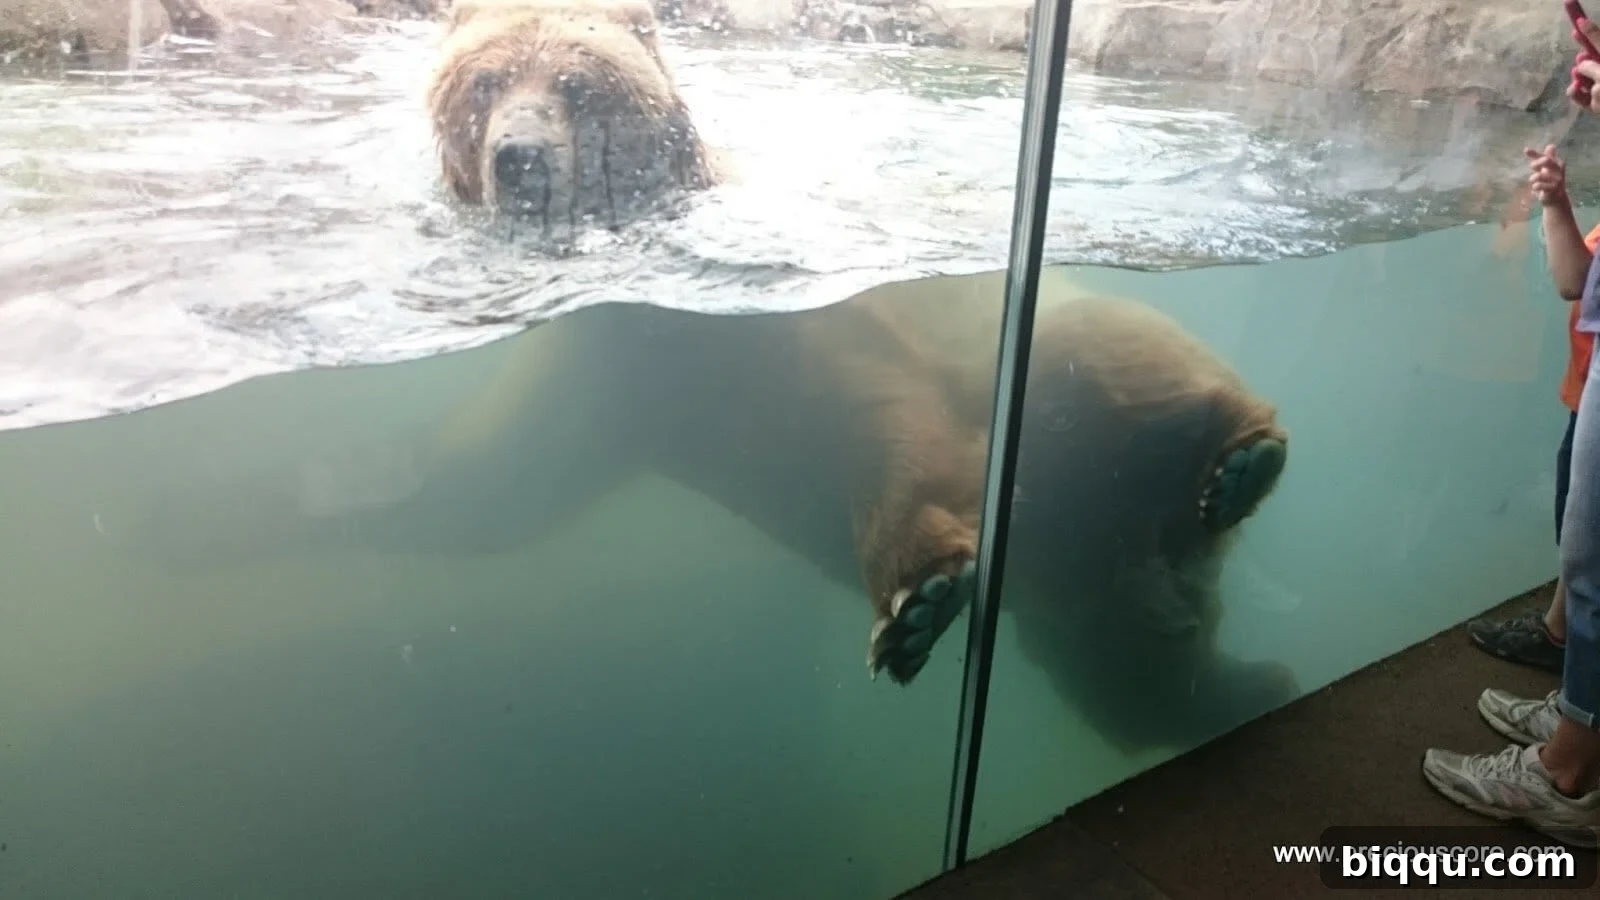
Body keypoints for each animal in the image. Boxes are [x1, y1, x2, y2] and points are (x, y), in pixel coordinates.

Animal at [273, 269, 1297, 756]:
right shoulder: (627, 397)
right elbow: (489, 489)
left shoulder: (809, 337)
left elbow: (889, 427)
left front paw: (915, 604)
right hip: (1080, 600)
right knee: (1130, 683)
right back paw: (1254, 677)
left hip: (1053, 360)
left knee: (1116, 356)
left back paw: (1241, 460)